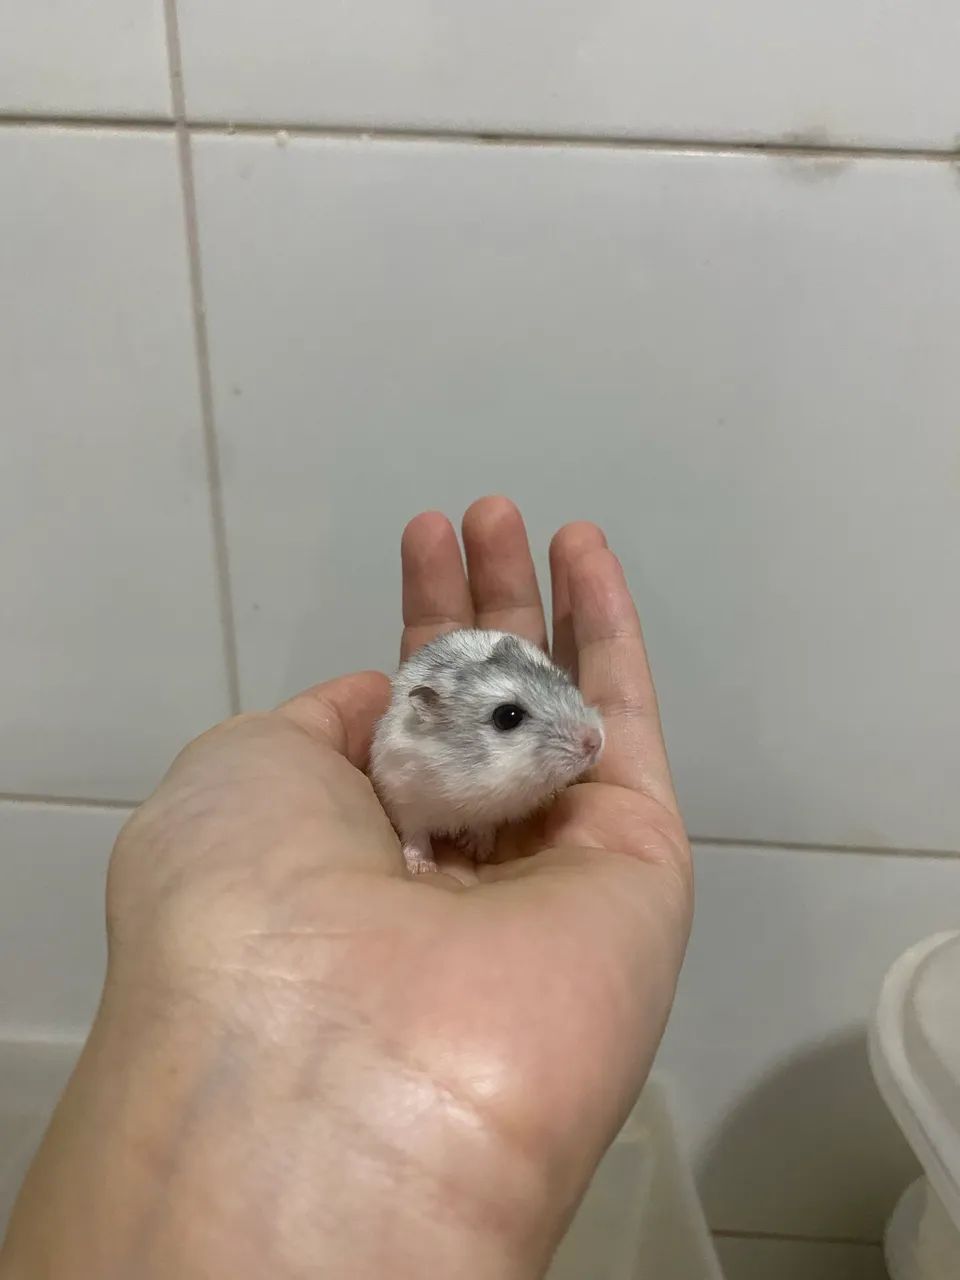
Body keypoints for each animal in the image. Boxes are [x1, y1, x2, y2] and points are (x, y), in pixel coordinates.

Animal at [370, 629, 604, 875]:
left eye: (565, 682)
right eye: (507, 717)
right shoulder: (404, 798)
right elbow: (416, 833)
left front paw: (476, 851)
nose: (596, 742)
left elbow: (483, 824)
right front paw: (421, 868)